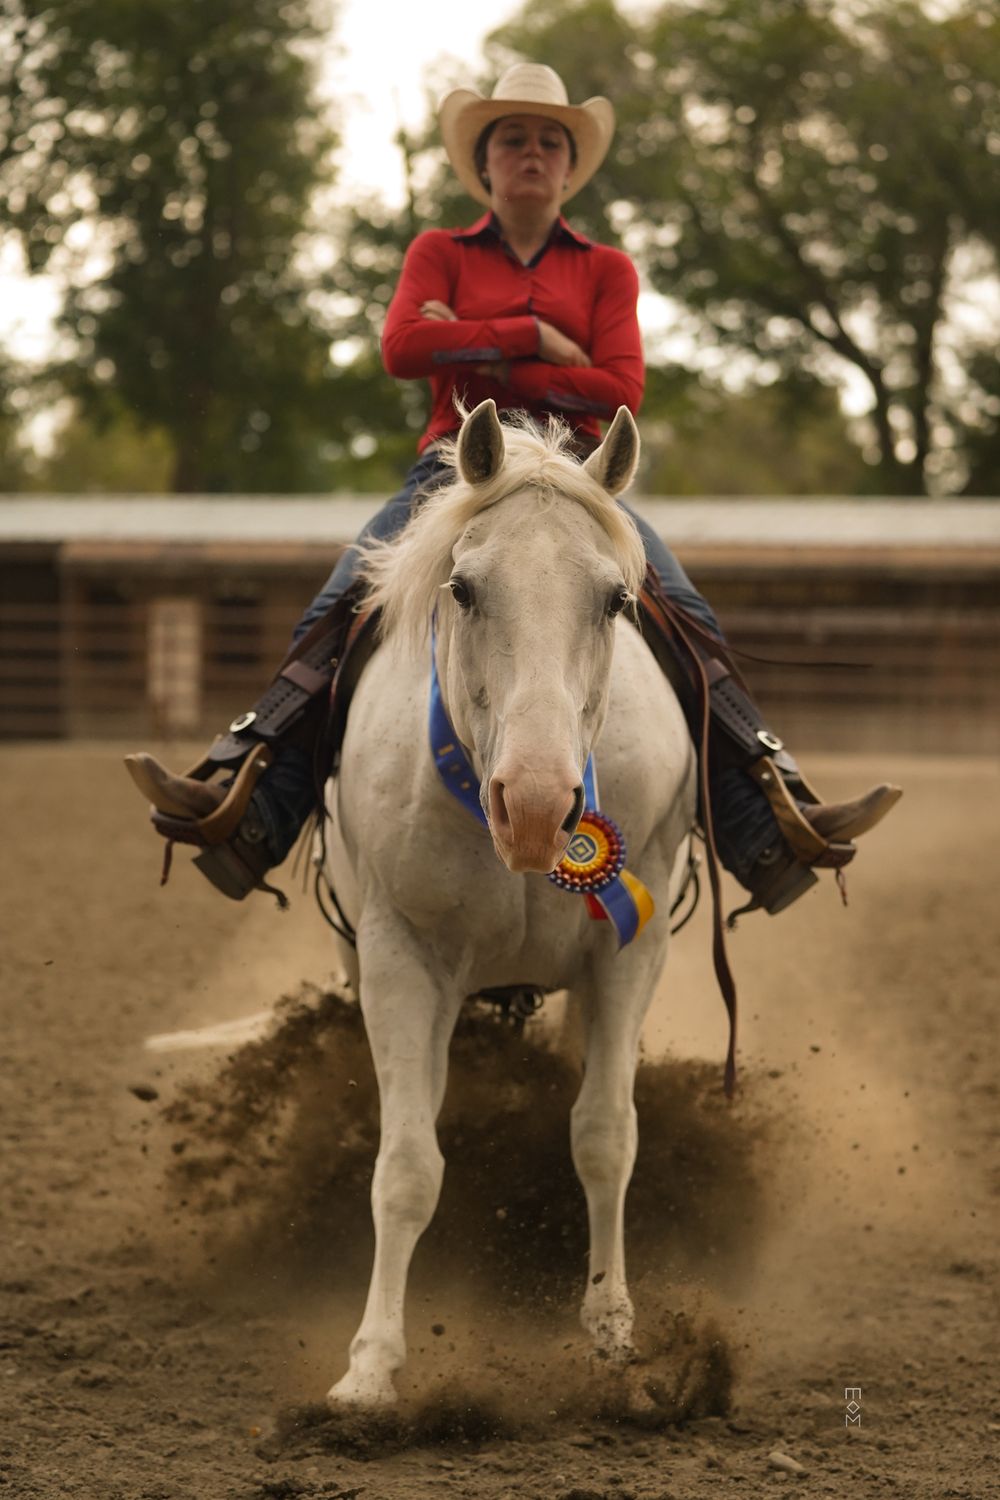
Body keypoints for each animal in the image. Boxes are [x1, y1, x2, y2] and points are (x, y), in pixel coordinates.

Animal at [322, 398, 696, 1408]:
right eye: (462, 589)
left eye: (613, 600)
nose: (534, 805)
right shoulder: (399, 953)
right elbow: (407, 1166)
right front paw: (370, 1368)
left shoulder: (630, 951)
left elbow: (605, 1134)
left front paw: (612, 1330)